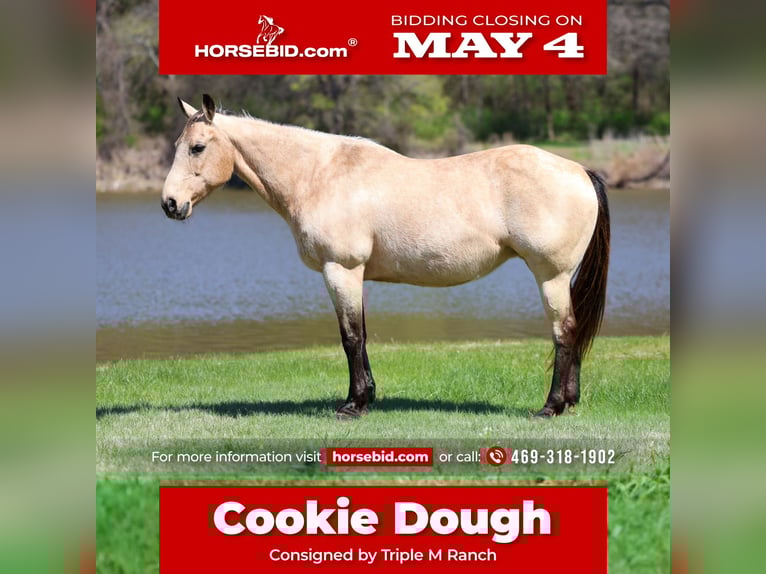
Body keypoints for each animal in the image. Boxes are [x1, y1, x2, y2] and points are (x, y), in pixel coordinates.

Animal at [161, 95, 610, 419]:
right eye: (179, 146)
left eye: (197, 147)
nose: (170, 204)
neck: (318, 175)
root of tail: (580, 171)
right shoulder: (355, 274)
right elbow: (361, 335)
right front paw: (366, 397)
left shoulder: (340, 270)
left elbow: (350, 337)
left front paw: (352, 405)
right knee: (571, 331)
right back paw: (569, 402)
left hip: (550, 275)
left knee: (564, 332)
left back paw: (551, 407)